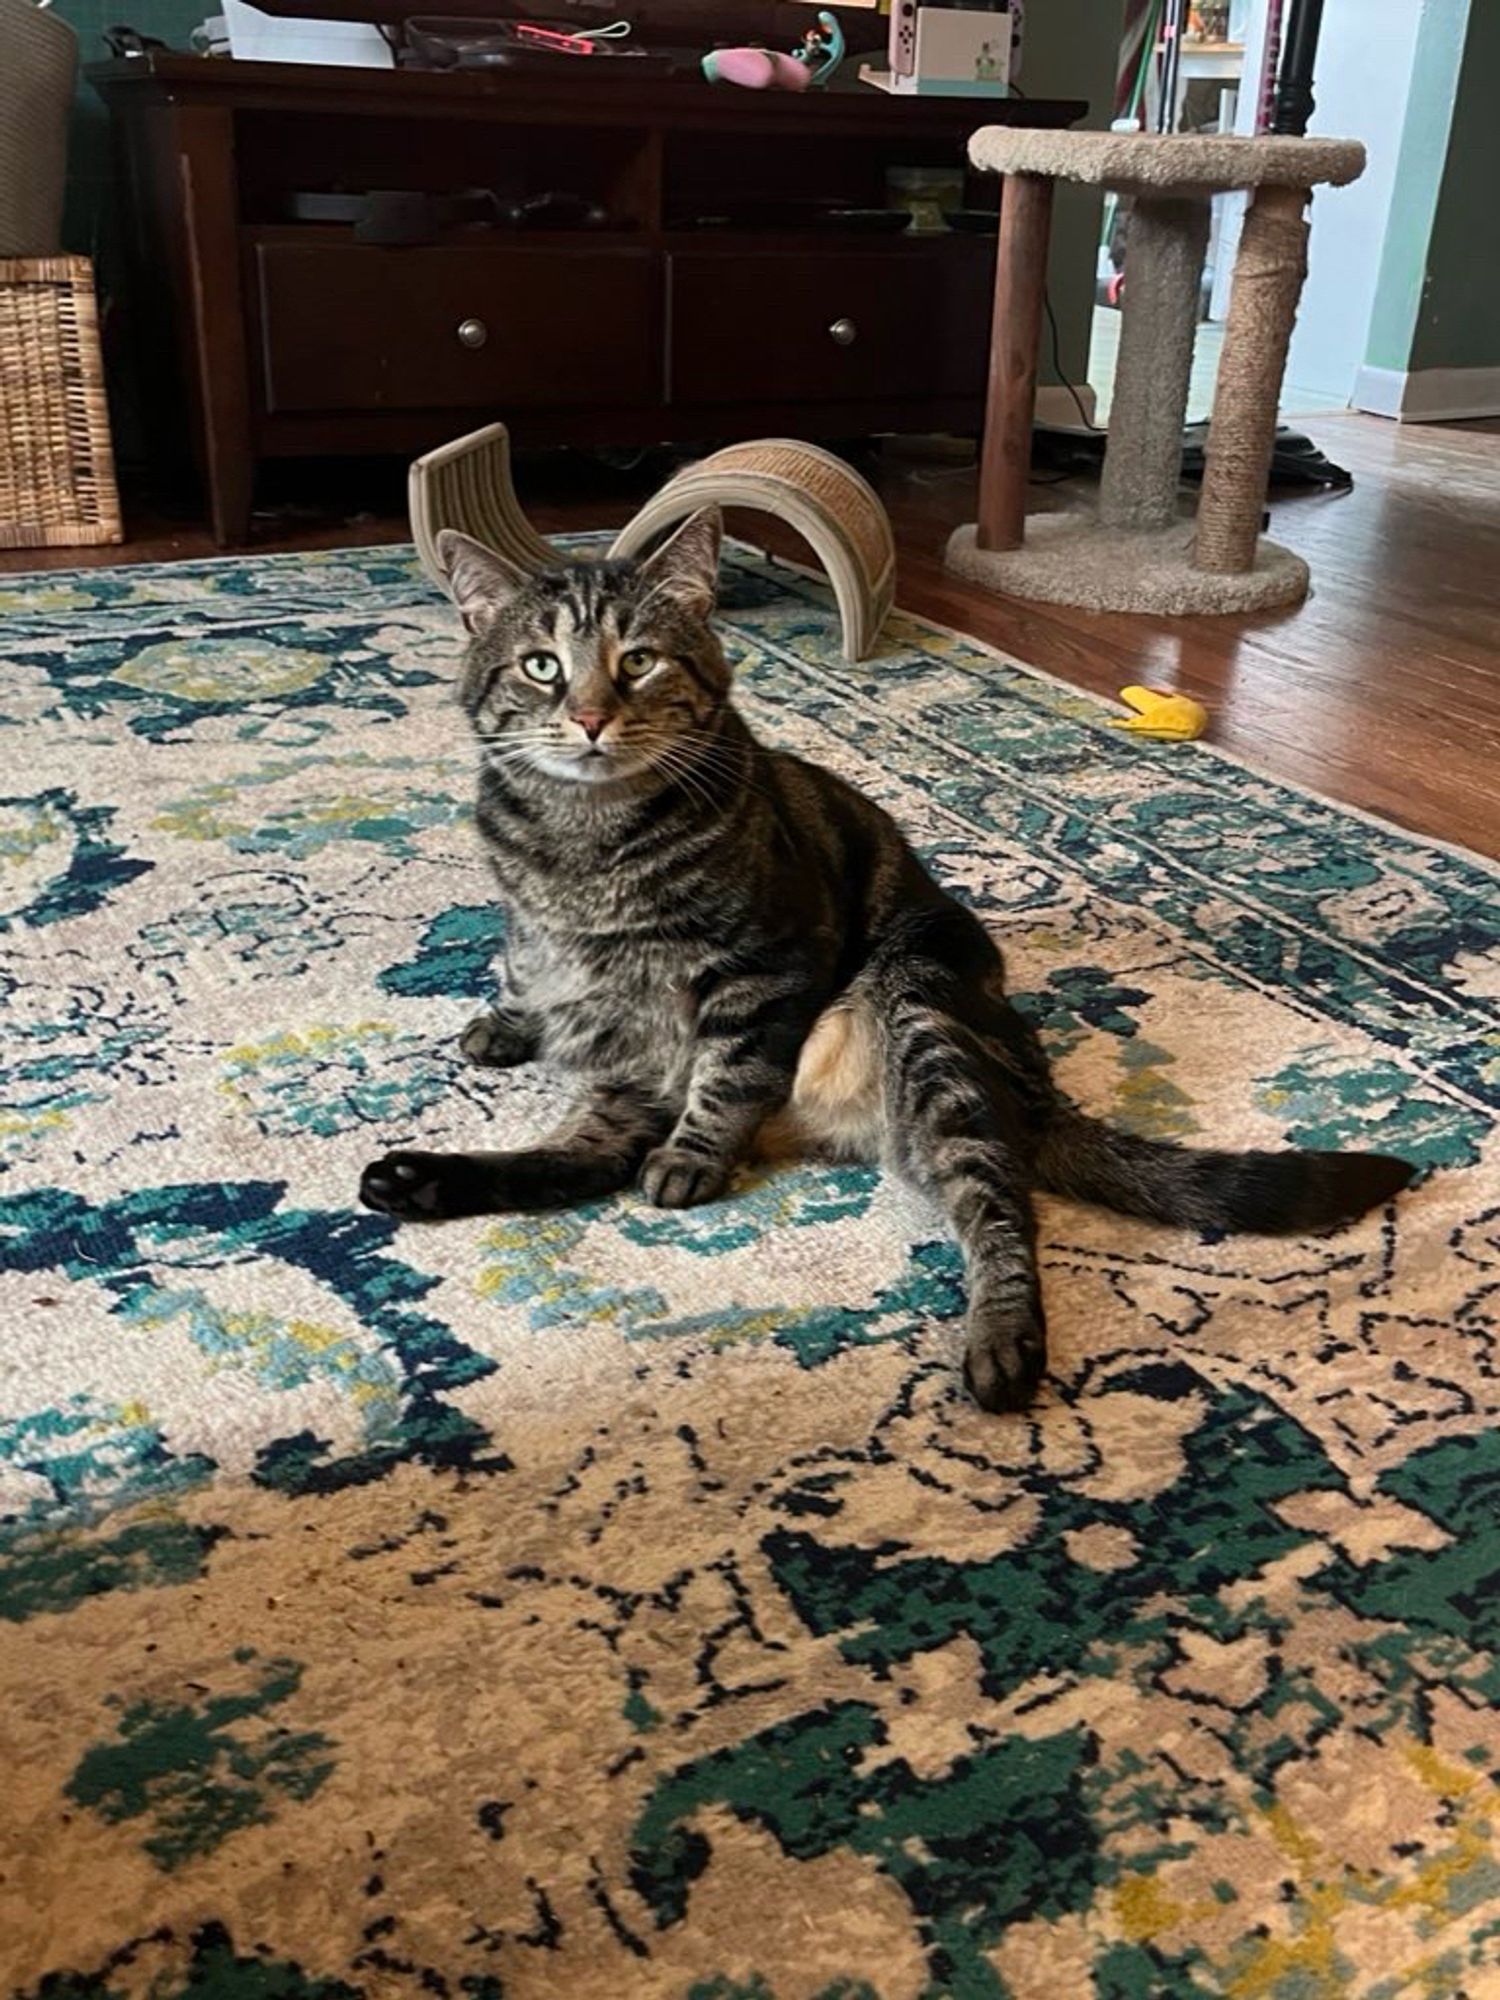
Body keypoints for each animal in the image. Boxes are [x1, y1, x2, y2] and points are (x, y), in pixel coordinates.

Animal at [358, 520, 1416, 1424]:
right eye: (542, 666)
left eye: (639, 661)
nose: (586, 717)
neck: (584, 842)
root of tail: (1032, 1083)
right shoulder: (558, 949)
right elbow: (526, 962)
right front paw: (510, 1017)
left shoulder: (766, 967)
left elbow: (728, 1078)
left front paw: (696, 1153)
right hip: (646, 1063)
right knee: (585, 1154)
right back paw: (421, 1178)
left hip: (917, 1009)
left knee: (999, 1206)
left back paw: (1001, 1341)